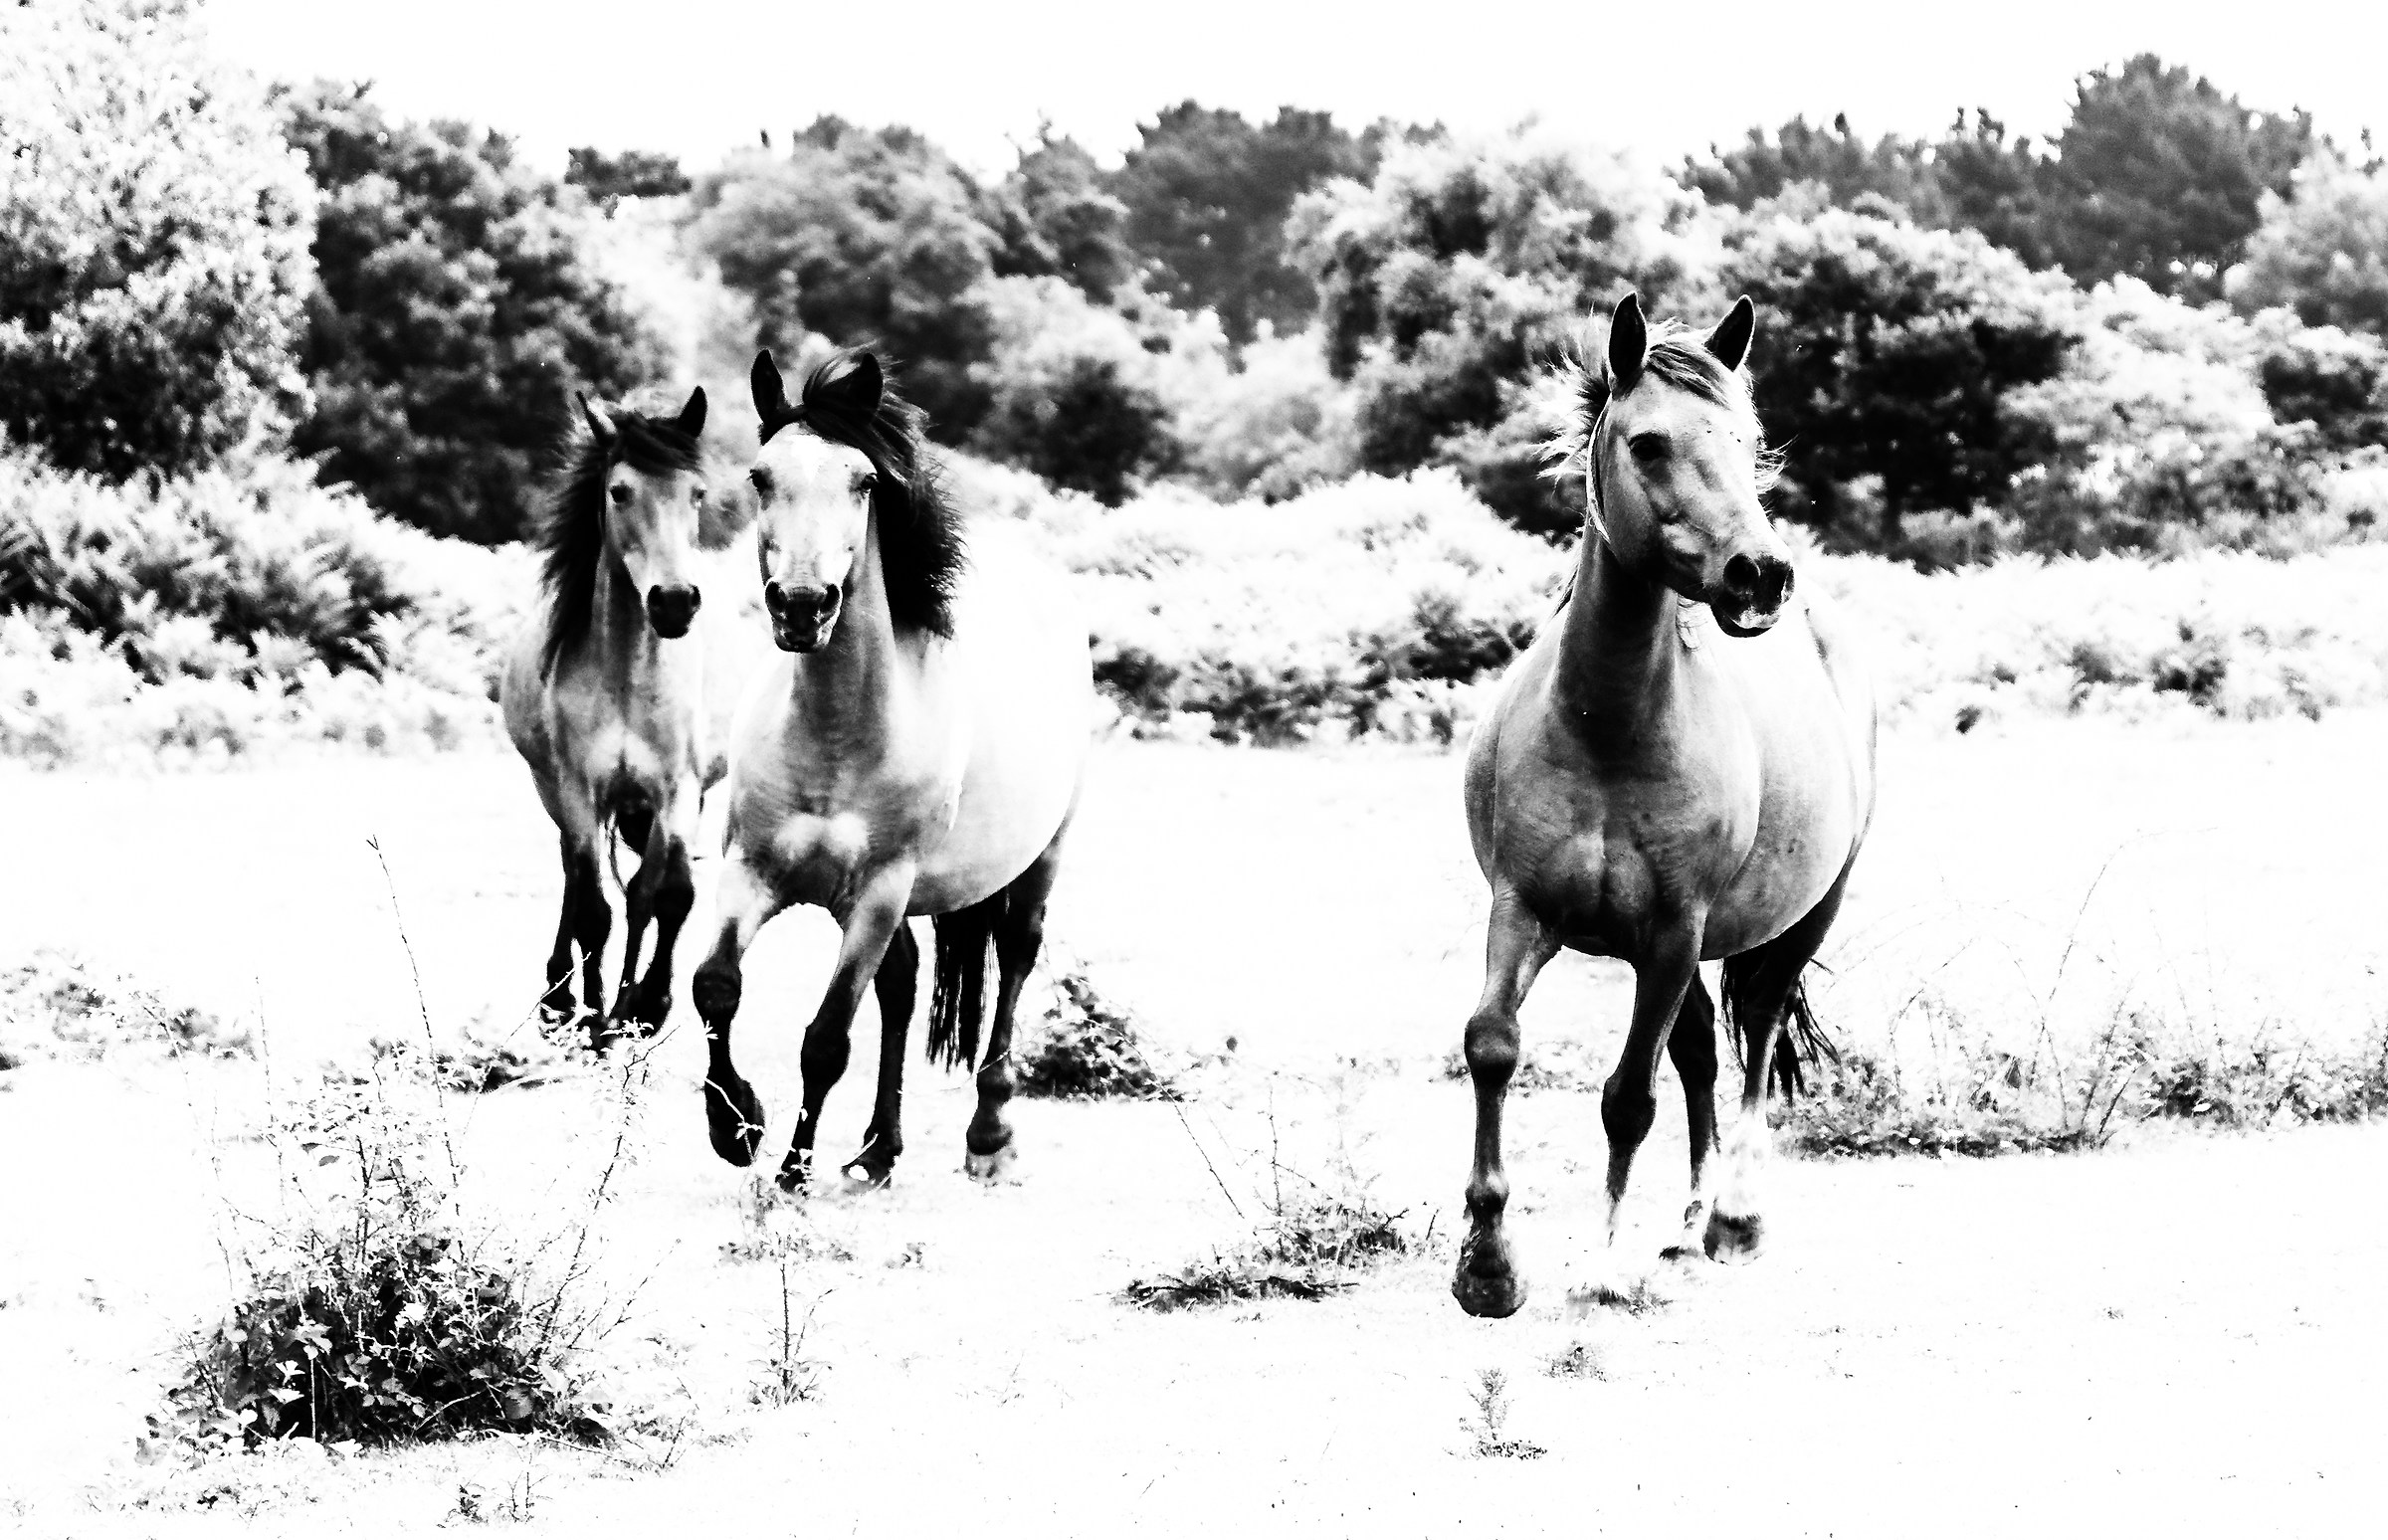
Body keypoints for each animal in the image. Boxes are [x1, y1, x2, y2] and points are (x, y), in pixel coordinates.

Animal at [501, 387, 725, 1040]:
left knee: (649, 893)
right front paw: (595, 1018)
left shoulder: (677, 791)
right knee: (579, 884)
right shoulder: (580, 790)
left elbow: (664, 896)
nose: (673, 601)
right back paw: (565, 998)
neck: (627, 674)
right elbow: (592, 909)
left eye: (697, 492)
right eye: (619, 491)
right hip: (556, 791)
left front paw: (645, 1006)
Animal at [689, 347, 1093, 1192]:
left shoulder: (879, 892)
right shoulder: (749, 871)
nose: (802, 605)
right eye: (760, 477)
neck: (837, 736)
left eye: (864, 481)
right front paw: (737, 1126)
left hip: (1039, 858)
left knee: (1015, 956)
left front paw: (792, 1170)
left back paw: (988, 1136)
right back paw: (877, 1149)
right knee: (903, 986)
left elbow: (826, 1038)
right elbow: (715, 988)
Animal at [1450, 293, 1878, 1319]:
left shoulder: (1673, 933)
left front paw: (1600, 1262)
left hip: (1800, 915)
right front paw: (1487, 1263)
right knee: (1700, 1058)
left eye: (1749, 439)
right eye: (1647, 443)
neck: (1608, 727)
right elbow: (1493, 1047)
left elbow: (1626, 1099)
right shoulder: (1523, 910)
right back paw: (1684, 1226)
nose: (1761, 574)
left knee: (1757, 1031)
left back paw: (1734, 1218)